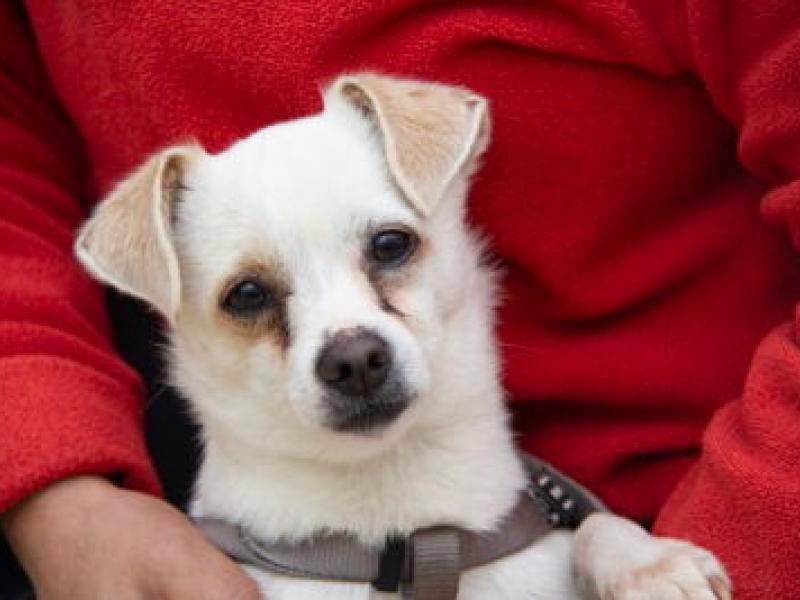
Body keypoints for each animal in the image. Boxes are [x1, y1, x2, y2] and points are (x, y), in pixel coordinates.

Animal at [75, 73, 731, 599]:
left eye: (391, 244)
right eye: (247, 294)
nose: (354, 359)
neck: (402, 542)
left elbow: (592, 522)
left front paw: (648, 563)